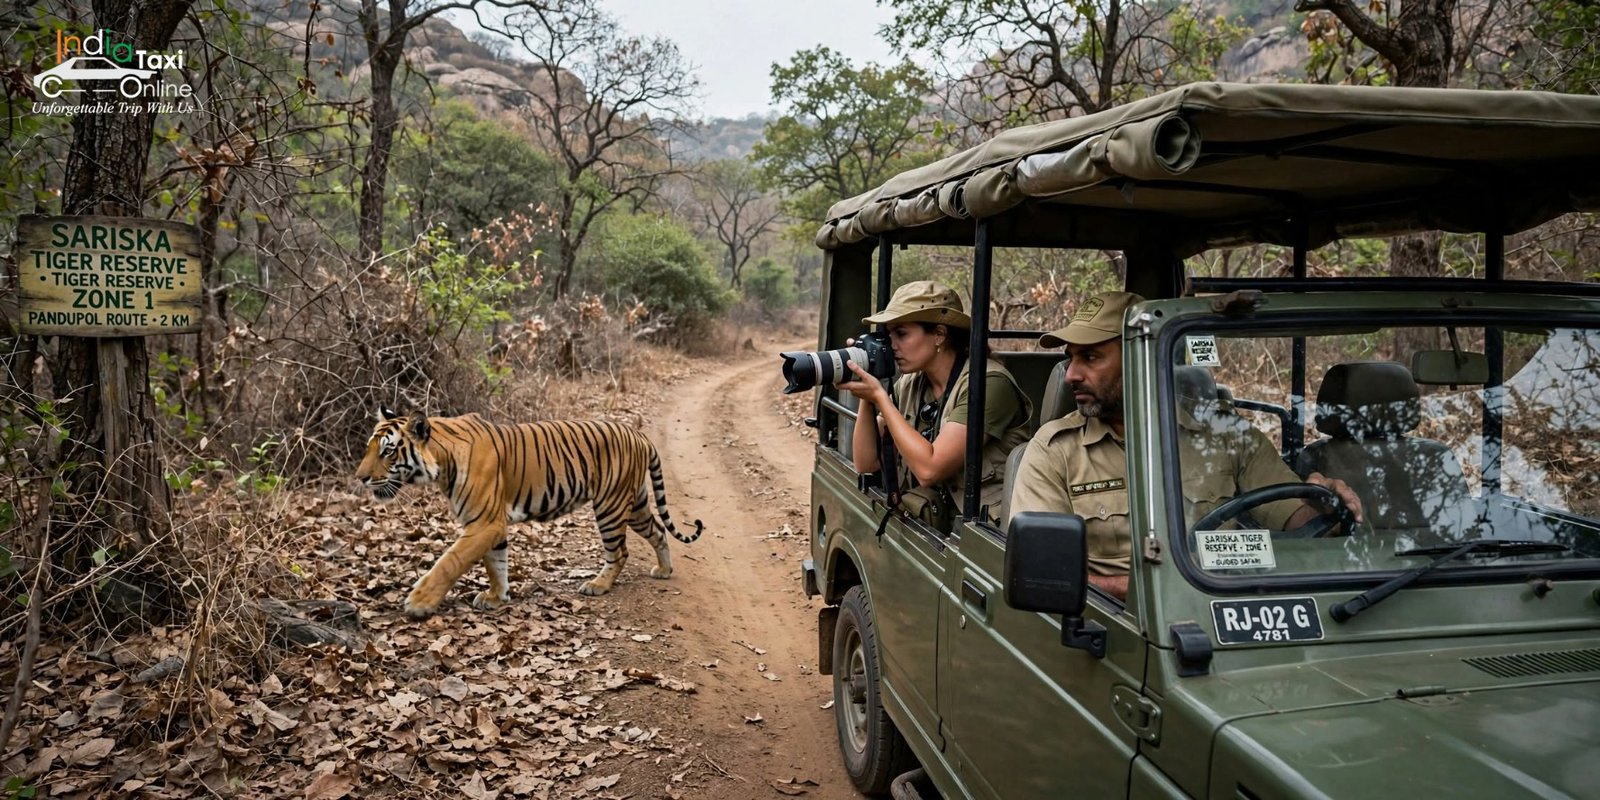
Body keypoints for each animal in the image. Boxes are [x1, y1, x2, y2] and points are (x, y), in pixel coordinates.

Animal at [355, 408, 703, 618]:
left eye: (387, 451)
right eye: (369, 448)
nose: (360, 478)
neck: (442, 462)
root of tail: (639, 435)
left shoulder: (484, 523)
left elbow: (449, 562)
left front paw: (419, 602)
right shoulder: (490, 526)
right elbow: (496, 565)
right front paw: (496, 597)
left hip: (611, 505)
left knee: (620, 551)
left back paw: (598, 585)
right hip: (635, 504)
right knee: (658, 531)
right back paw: (664, 569)